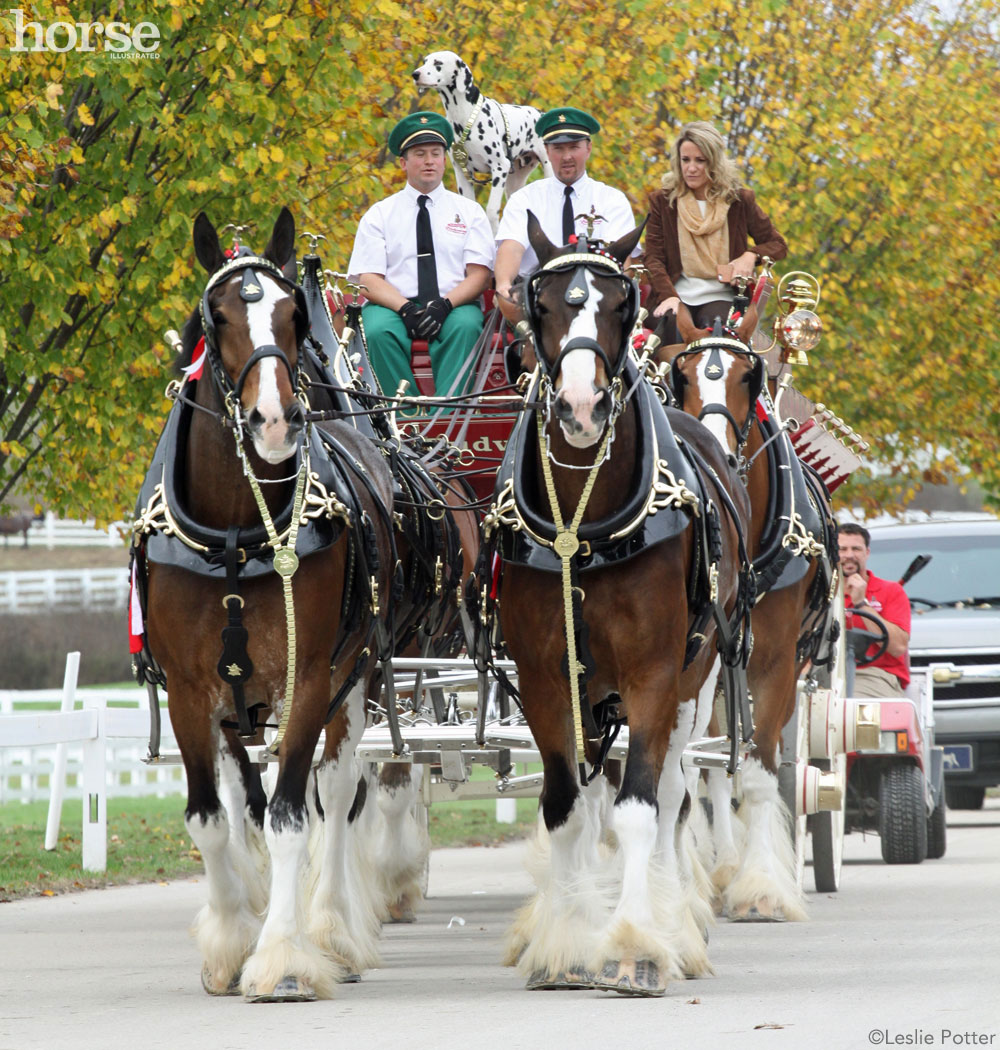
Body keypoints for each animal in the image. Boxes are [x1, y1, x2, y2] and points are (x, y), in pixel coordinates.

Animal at [140, 211, 399, 999]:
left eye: (291, 316)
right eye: (215, 316)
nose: (275, 420)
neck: (233, 529)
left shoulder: (309, 676)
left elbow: (292, 818)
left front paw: (283, 954)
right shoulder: (192, 688)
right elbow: (211, 818)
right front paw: (230, 939)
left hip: (354, 679)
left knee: (335, 793)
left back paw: (333, 928)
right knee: (246, 796)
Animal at [413, 49, 554, 234]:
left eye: (438, 63)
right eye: (425, 61)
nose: (415, 74)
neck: (466, 115)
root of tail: (542, 114)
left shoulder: (500, 168)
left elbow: (492, 211)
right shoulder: (462, 173)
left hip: (547, 169)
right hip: (514, 182)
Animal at [491, 217, 747, 995]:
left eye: (618, 306)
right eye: (540, 304)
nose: (581, 408)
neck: (584, 525)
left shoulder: (653, 676)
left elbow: (640, 810)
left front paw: (634, 944)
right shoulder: (546, 680)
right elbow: (566, 810)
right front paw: (567, 945)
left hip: (695, 683)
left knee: (670, 797)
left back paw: (676, 924)